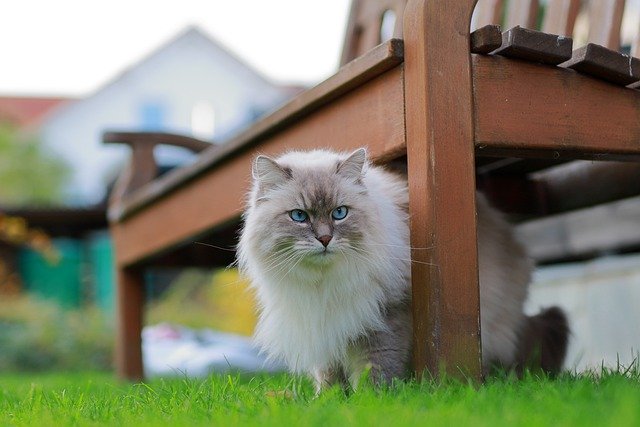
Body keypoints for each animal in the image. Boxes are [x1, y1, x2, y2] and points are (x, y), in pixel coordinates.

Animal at [238, 148, 568, 392]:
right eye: (299, 216)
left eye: (339, 213)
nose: (325, 239)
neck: (324, 284)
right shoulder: (321, 321)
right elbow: (329, 375)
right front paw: (329, 402)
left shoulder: (383, 317)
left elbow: (375, 370)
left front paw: (370, 403)